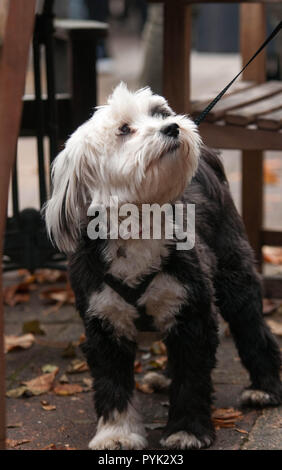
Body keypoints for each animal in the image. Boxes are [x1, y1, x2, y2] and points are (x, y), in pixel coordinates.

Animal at [45, 84, 280, 452]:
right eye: (124, 129)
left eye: (159, 113)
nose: (173, 127)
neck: (139, 223)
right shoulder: (103, 325)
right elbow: (112, 384)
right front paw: (117, 433)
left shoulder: (194, 313)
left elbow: (191, 379)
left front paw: (186, 430)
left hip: (234, 276)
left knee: (253, 328)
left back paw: (264, 388)